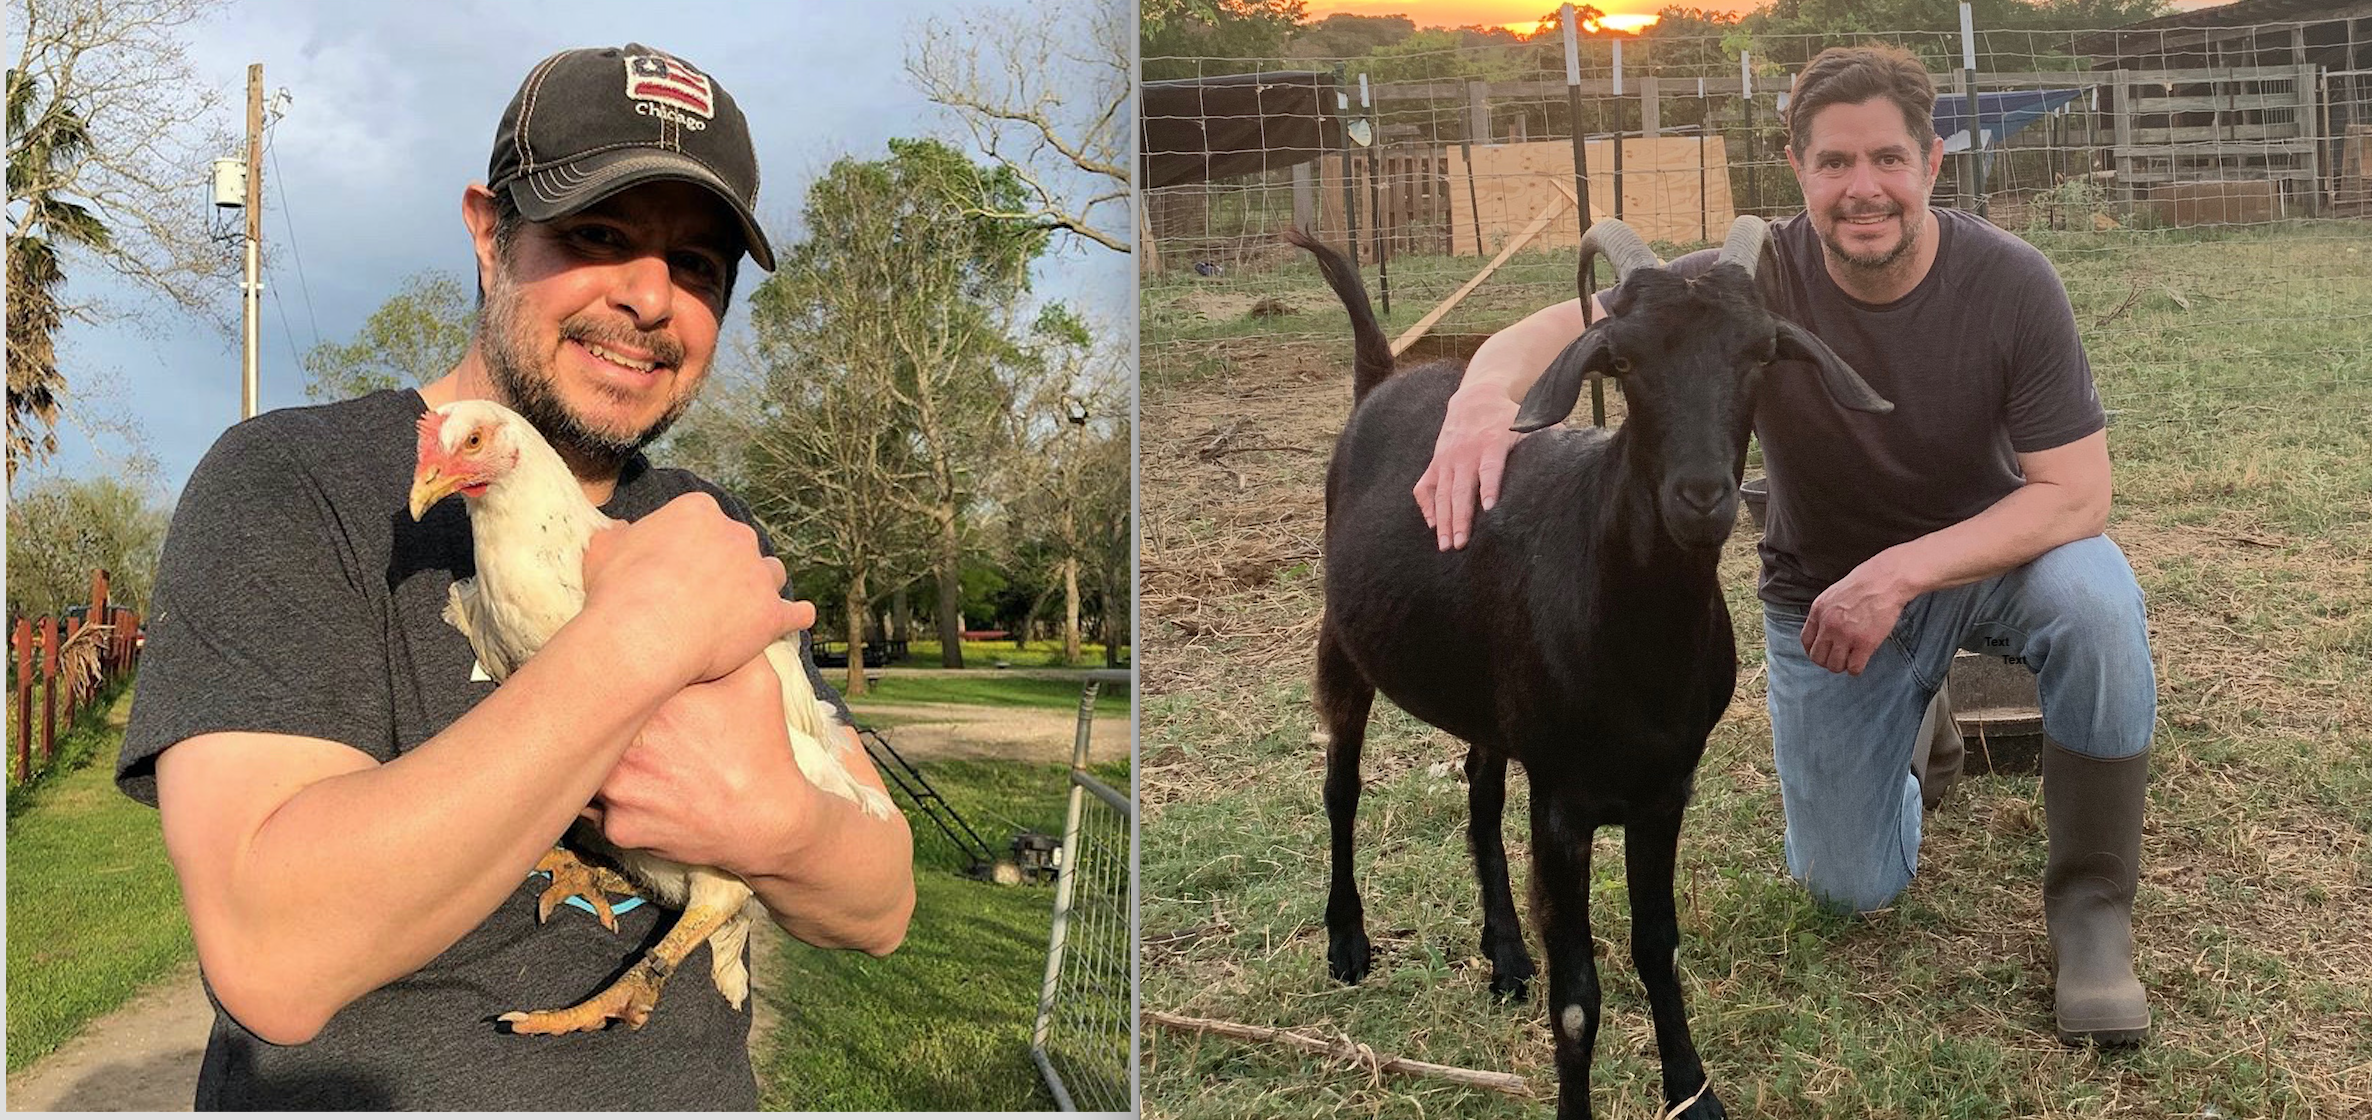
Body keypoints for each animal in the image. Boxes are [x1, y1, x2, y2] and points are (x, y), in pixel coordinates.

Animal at [1299, 214, 1888, 1115]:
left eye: (1759, 354)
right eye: (1626, 361)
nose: (1701, 497)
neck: (1637, 652)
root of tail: (1380, 381)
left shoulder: (1663, 793)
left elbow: (1657, 947)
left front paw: (1692, 1090)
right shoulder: (1564, 807)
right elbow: (1577, 999)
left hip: (1488, 699)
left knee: (1477, 791)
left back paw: (1506, 954)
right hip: (1344, 644)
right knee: (1342, 786)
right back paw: (1348, 942)